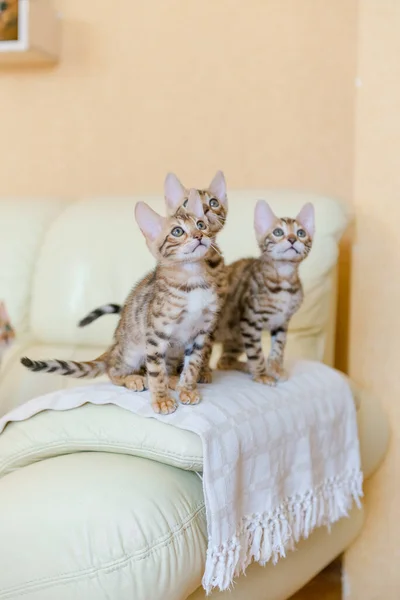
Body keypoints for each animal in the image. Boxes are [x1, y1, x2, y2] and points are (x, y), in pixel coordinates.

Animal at [21, 190, 219, 414]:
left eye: (201, 224)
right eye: (177, 231)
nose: (200, 236)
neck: (193, 281)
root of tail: (113, 347)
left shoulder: (201, 334)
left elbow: (192, 366)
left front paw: (187, 389)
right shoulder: (156, 336)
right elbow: (156, 372)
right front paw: (161, 400)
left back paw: (174, 380)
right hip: (133, 351)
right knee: (113, 370)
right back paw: (133, 379)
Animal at [214, 202, 314, 386]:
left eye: (301, 233)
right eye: (278, 232)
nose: (292, 239)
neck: (284, 283)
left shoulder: (282, 322)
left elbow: (279, 346)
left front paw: (275, 368)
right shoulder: (250, 321)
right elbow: (255, 351)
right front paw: (261, 374)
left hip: (236, 337)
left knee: (223, 361)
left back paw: (245, 367)